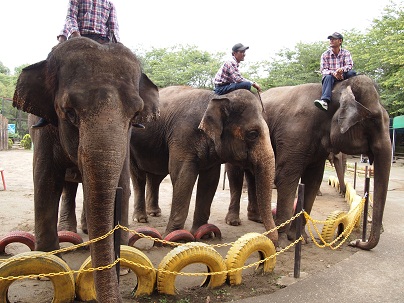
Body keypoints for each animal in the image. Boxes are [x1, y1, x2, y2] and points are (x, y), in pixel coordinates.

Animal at [12, 36, 159, 302]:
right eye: (69, 112)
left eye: (135, 116)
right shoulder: (43, 130)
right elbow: (45, 182)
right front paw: (45, 270)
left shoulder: (127, 140)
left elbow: (122, 185)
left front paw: (122, 266)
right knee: (67, 187)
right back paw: (68, 230)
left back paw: (86, 229)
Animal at [129, 85, 278, 245]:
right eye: (252, 134)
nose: (275, 244)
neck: (217, 98)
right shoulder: (182, 135)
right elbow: (183, 176)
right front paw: (176, 237)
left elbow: (209, 181)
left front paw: (204, 234)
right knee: (138, 177)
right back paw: (141, 219)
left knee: (155, 176)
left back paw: (154, 213)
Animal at [224, 75, 392, 251]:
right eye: (373, 120)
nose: (357, 242)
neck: (334, 90)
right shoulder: (293, 135)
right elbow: (285, 178)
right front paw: (282, 244)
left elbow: (313, 181)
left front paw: (301, 239)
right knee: (235, 174)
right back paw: (234, 221)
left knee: (253, 176)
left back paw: (257, 218)